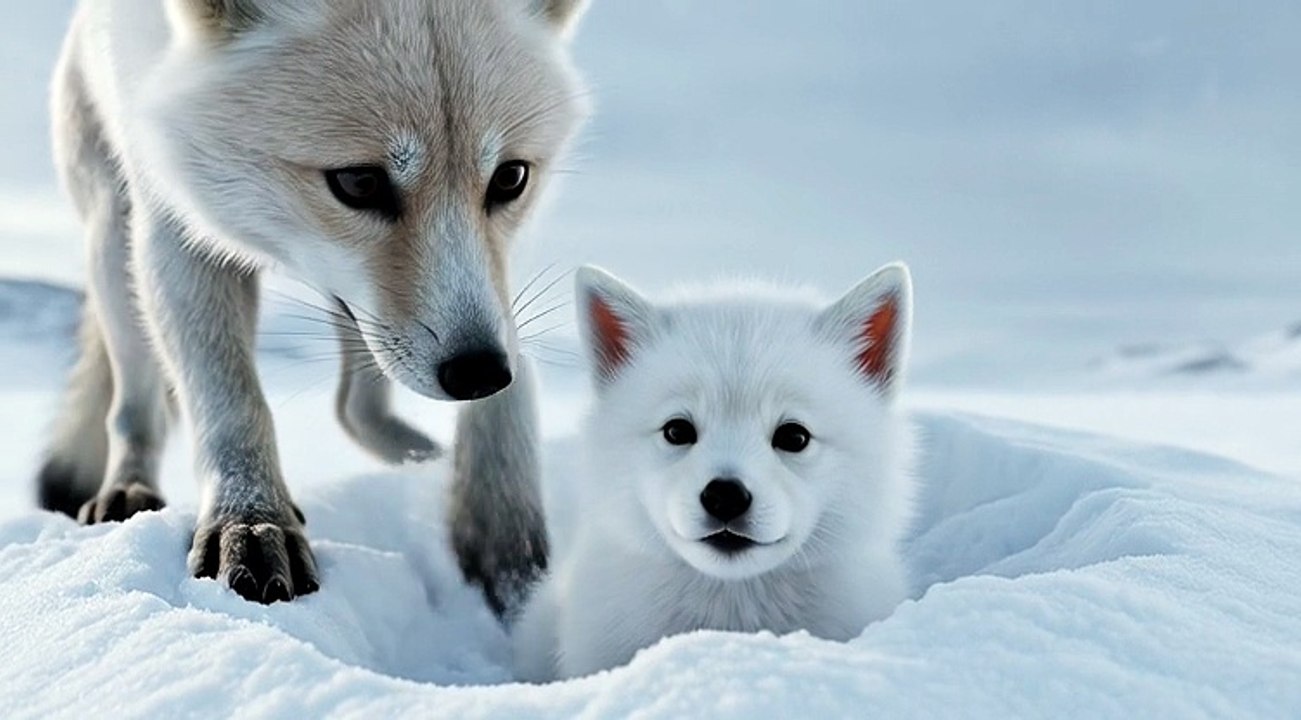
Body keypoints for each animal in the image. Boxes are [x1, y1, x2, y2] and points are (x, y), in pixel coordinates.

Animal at [37, 0, 591, 610]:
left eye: (510, 178)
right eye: (358, 182)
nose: (478, 373)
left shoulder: (492, 283)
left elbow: (514, 378)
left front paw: (500, 529)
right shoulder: (176, 226)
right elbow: (232, 404)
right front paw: (252, 523)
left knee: (355, 407)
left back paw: (430, 465)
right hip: (117, 247)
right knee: (133, 410)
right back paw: (127, 489)